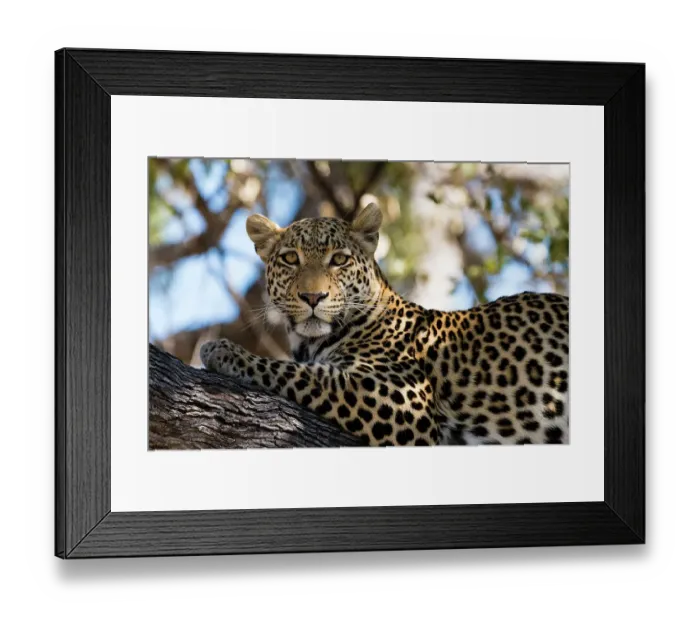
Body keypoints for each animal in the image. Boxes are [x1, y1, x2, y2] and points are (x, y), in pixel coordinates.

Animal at [200, 204, 569, 447]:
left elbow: (300, 374)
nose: (313, 296)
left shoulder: (400, 396)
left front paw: (223, 351)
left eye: (339, 259)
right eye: (291, 258)